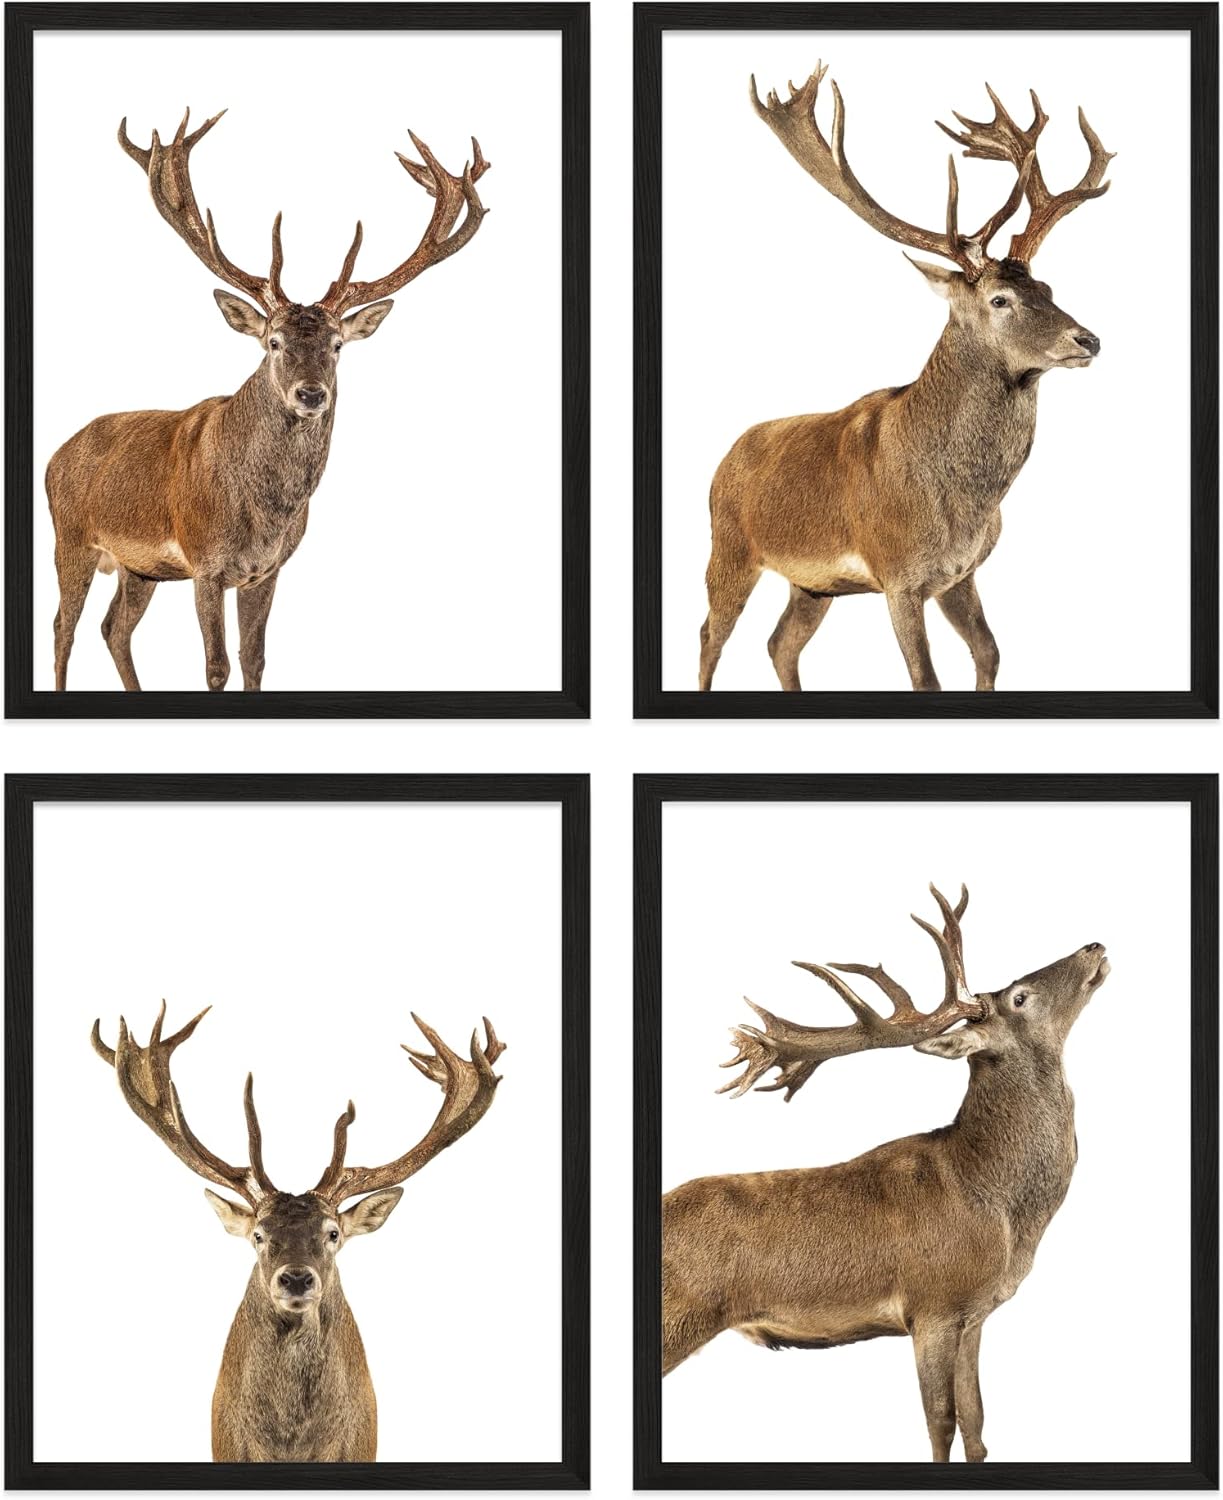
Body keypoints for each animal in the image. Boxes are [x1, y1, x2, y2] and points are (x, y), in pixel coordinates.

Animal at [48, 107, 489, 692]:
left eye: (337, 345)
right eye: (274, 342)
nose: (311, 392)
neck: (263, 515)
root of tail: (55, 455)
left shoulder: (267, 570)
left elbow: (255, 658)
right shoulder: (205, 562)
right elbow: (216, 665)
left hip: (139, 566)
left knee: (113, 627)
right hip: (70, 537)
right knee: (63, 627)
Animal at [662, 884, 1111, 1463]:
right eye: (1019, 997)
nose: (1093, 946)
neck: (996, 1201)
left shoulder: (975, 1314)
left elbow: (977, 1423)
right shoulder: (932, 1304)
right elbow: (941, 1421)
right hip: (679, 1315)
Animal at [699, 68, 1113, 691]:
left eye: (1048, 289)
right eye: (1000, 299)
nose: (1087, 340)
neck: (963, 501)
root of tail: (725, 458)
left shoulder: (960, 574)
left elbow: (990, 652)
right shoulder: (898, 572)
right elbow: (926, 678)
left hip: (813, 583)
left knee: (779, 643)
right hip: (729, 546)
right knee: (710, 635)